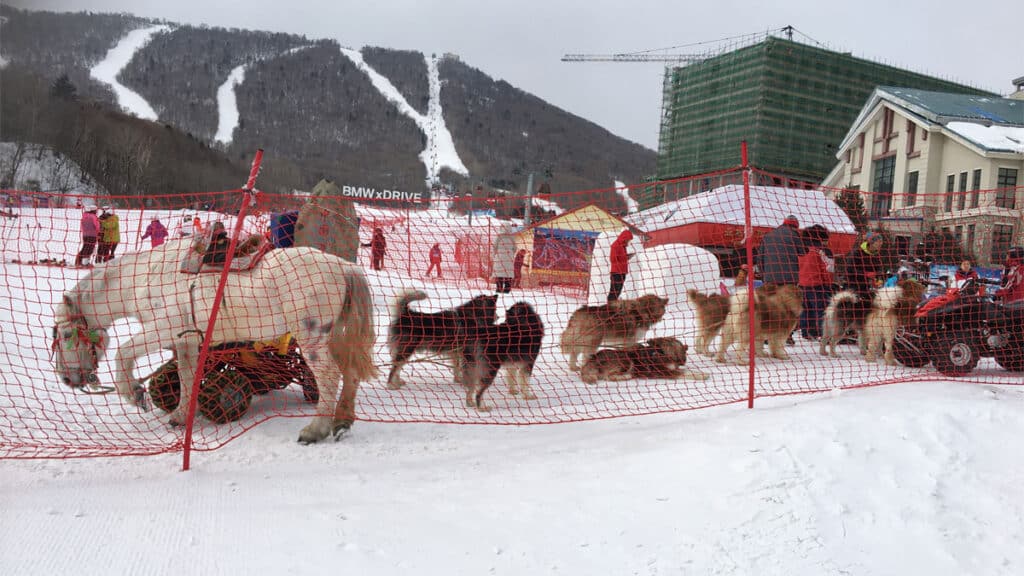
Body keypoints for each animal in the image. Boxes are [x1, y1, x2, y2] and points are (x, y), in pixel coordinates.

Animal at [49, 239, 378, 440]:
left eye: (64, 334)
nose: (66, 378)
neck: (145, 279)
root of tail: (343, 266)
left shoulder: (163, 329)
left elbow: (124, 354)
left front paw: (134, 393)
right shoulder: (185, 341)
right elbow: (187, 376)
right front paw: (181, 415)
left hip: (311, 337)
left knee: (328, 376)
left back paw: (316, 429)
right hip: (333, 337)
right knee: (349, 373)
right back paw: (341, 421)